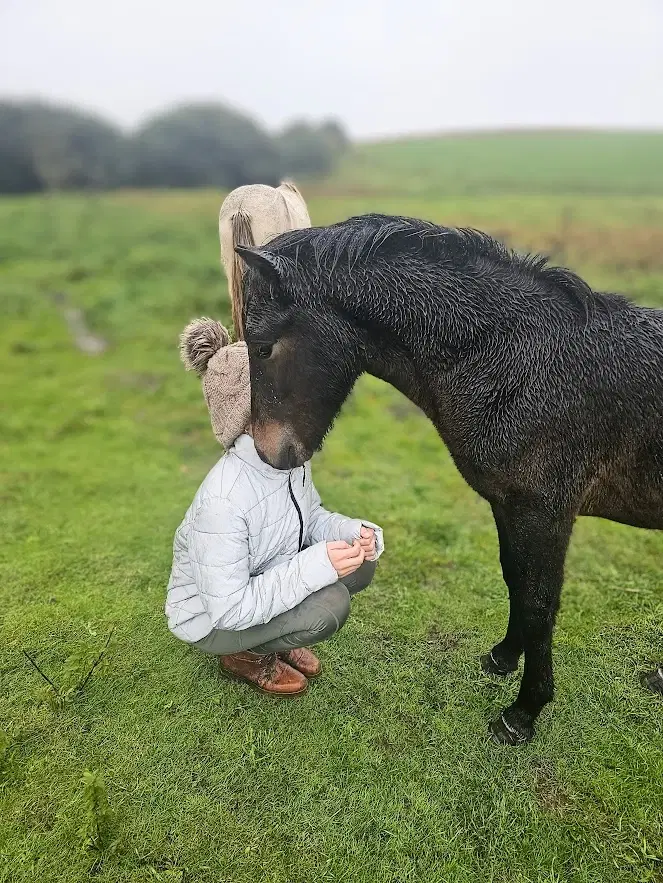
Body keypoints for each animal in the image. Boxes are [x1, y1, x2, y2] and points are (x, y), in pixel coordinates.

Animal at [232, 212, 663, 744]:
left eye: (263, 348)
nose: (269, 453)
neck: (514, 359)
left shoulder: (544, 512)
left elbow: (540, 602)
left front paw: (523, 712)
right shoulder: (507, 504)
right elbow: (515, 579)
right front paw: (502, 658)